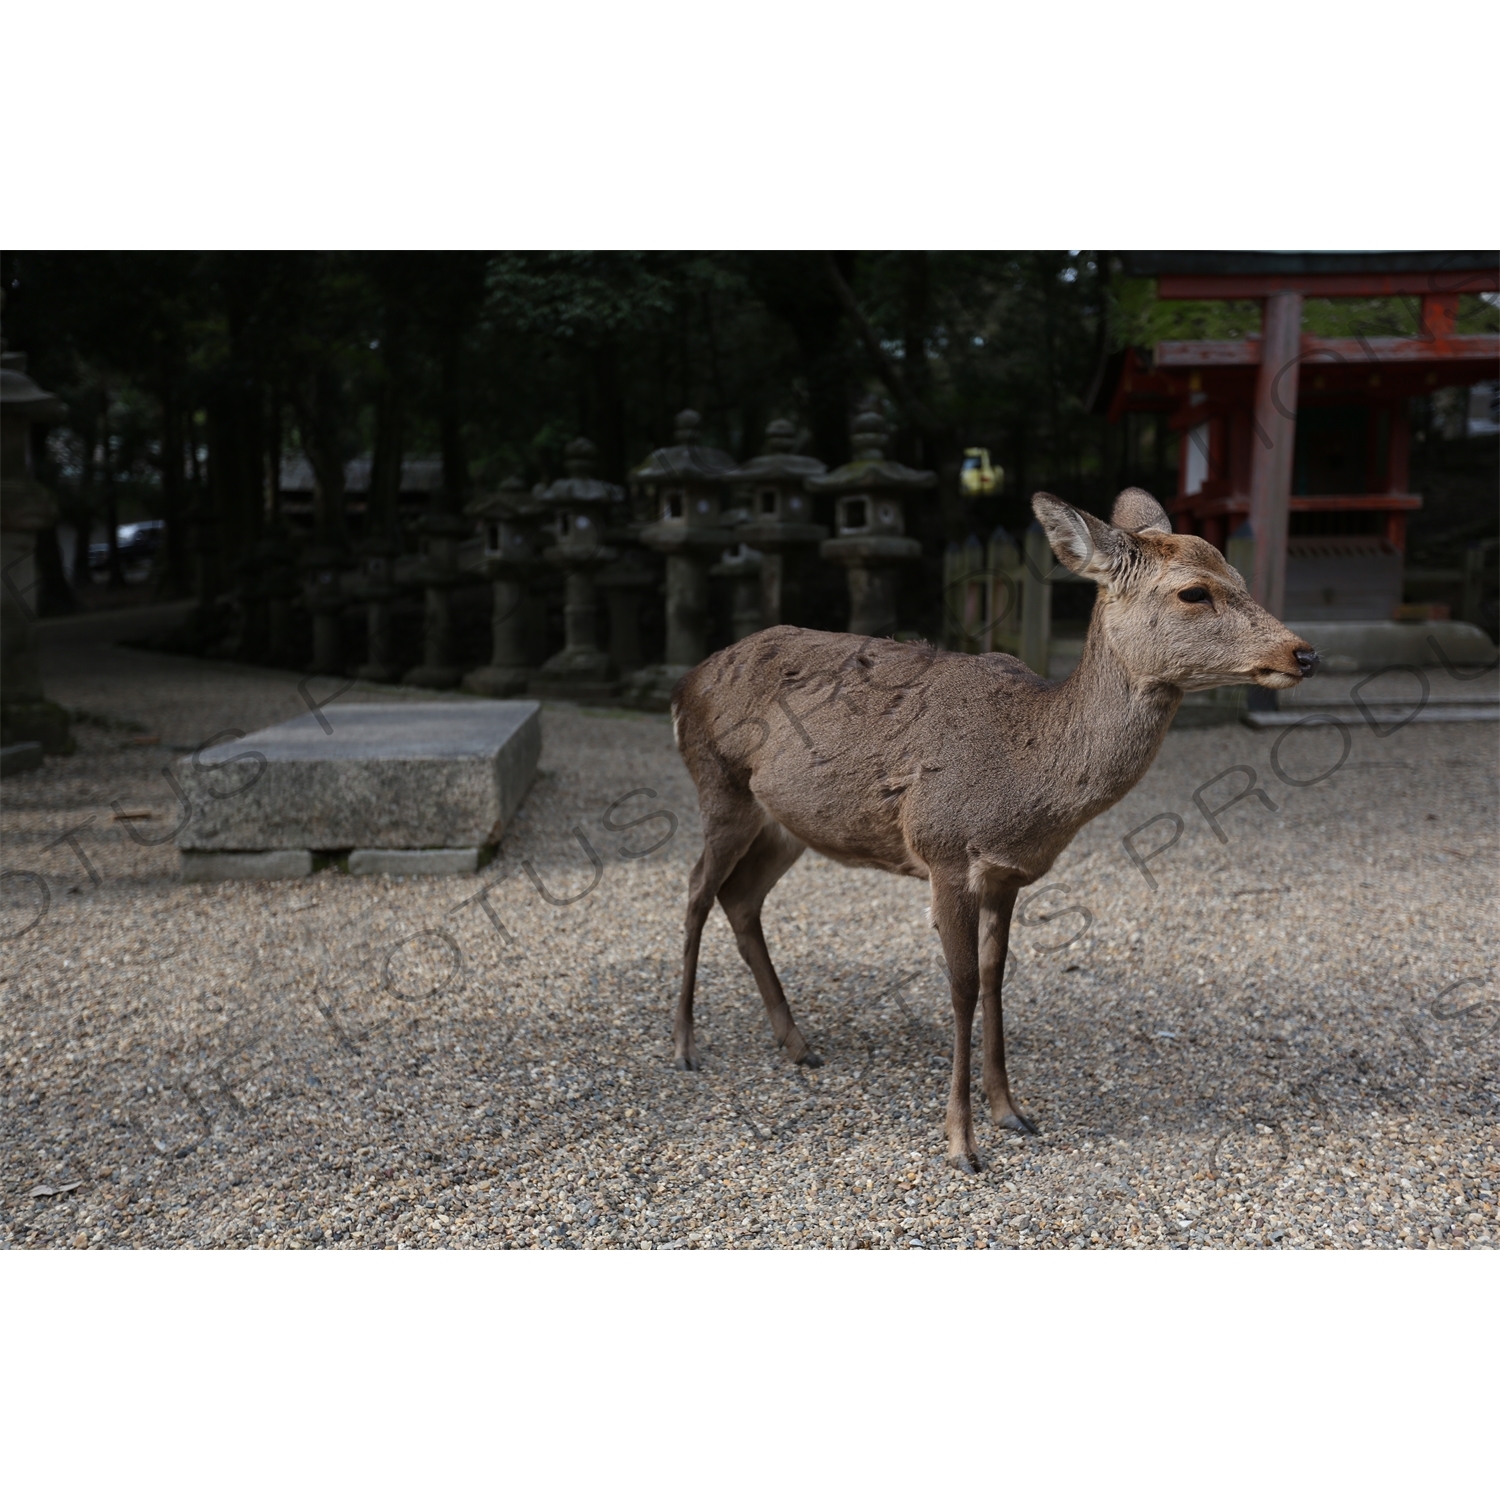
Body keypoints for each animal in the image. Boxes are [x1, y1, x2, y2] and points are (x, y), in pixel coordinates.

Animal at [669, 492, 1314, 1170]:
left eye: (1240, 577)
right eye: (1194, 591)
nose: (1304, 653)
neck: (1025, 782)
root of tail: (682, 687)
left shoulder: (1009, 874)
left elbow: (995, 977)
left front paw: (1011, 1111)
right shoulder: (944, 851)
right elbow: (960, 987)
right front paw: (961, 1142)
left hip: (785, 824)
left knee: (741, 898)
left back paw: (797, 1044)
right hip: (719, 786)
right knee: (696, 890)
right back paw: (685, 1047)